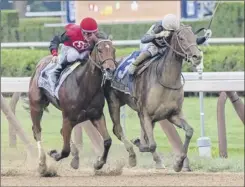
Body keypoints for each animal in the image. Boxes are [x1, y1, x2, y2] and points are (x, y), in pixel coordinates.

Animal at [28, 35, 117, 175]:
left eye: (113, 50)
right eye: (100, 50)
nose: (110, 69)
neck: (84, 85)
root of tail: (40, 62)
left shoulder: (96, 115)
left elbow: (107, 141)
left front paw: (98, 164)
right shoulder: (68, 117)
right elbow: (65, 150)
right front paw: (54, 154)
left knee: (61, 131)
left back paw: (75, 159)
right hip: (36, 105)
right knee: (37, 130)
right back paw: (42, 165)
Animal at [105, 25, 203, 172]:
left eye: (194, 37)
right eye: (181, 38)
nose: (197, 56)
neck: (166, 80)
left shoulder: (173, 114)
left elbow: (189, 131)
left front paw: (179, 163)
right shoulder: (146, 114)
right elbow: (151, 144)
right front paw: (140, 144)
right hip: (114, 103)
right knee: (118, 129)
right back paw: (133, 157)